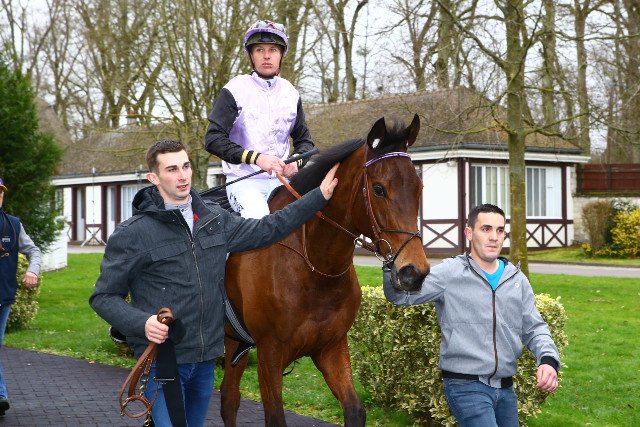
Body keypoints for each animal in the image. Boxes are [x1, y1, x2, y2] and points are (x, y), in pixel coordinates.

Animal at [221, 114, 430, 426]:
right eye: (379, 189)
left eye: (419, 187)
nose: (413, 271)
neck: (315, 266)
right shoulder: (270, 353)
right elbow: (275, 416)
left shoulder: (331, 347)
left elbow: (355, 409)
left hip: (235, 341)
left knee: (229, 398)